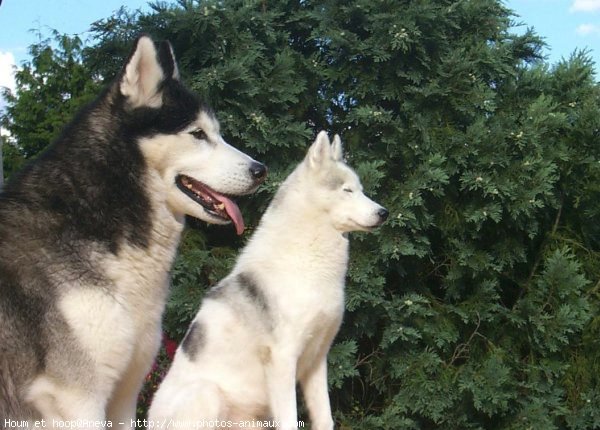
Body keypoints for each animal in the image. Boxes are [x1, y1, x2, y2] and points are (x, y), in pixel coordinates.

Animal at [148, 132, 386, 430]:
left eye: (361, 190)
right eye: (347, 191)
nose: (384, 212)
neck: (307, 261)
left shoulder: (317, 361)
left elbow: (325, 419)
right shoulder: (283, 359)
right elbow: (290, 419)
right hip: (207, 393)